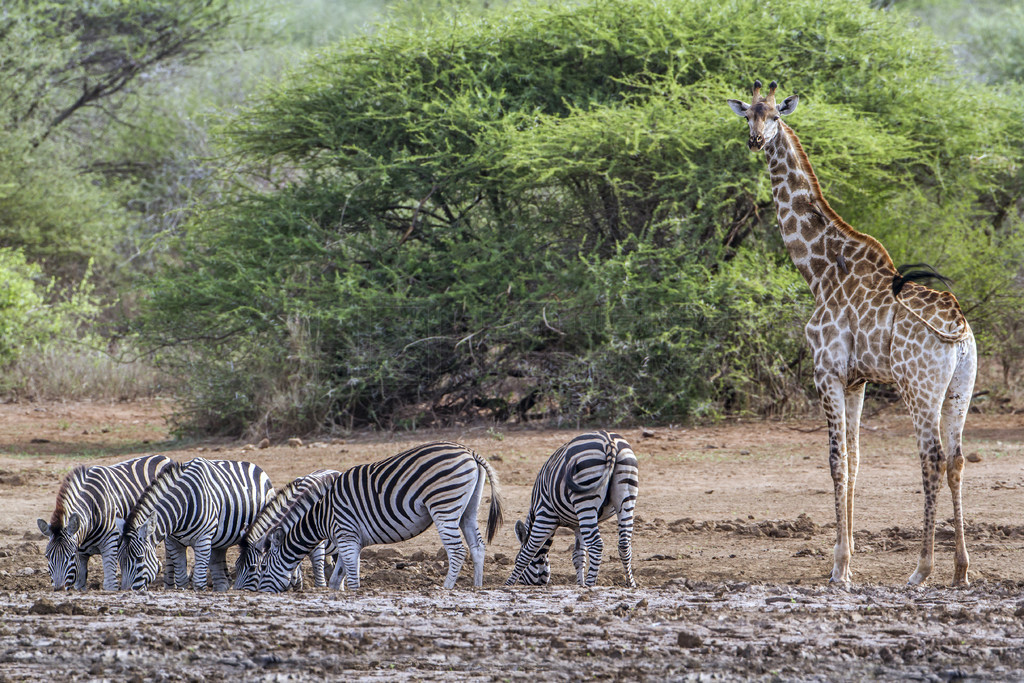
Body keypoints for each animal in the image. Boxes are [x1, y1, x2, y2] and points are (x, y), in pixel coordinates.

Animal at [37, 454, 188, 593]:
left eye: (71, 556)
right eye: (47, 557)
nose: (59, 589)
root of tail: (163, 456)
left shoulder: (110, 544)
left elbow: (110, 585)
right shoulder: (81, 552)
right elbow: (80, 585)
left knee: (170, 558)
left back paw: (169, 587)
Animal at [116, 458, 274, 593]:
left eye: (139, 559)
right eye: (120, 560)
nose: (126, 592)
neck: (183, 505)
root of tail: (254, 465)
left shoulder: (203, 539)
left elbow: (198, 582)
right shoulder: (173, 542)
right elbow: (181, 580)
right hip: (219, 542)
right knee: (221, 577)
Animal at [260, 444, 503, 593]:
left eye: (261, 567)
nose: (257, 594)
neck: (322, 517)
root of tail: (469, 452)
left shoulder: (347, 536)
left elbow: (351, 578)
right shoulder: (347, 541)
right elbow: (337, 579)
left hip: (444, 506)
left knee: (457, 551)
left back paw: (446, 588)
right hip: (468, 510)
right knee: (477, 547)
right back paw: (477, 587)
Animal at [505, 432, 638, 589]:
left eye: (514, 559)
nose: (539, 584)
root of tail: (609, 441)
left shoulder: (545, 514)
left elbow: (529, 551)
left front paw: (507, 584)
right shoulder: (577, 525)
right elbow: (578, 556)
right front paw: (580, 584)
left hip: (585, 498)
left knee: (596, 544)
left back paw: (590, 585)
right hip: (626, 495)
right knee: (624, 545)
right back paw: (631, 584)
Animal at [724, 78, 978, 581]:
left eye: (775, 116)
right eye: (749, 115)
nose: (756, 141)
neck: (818, 268)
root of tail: (958, 328)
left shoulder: (826, 371)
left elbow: (836, 462)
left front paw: (839, 566)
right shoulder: (857, 379)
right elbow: (857, 462)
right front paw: (850, 555)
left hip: (919, 387)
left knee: (932, 457)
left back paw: (922, 569)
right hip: (960, 386)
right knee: (957, 459)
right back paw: (960, 569)